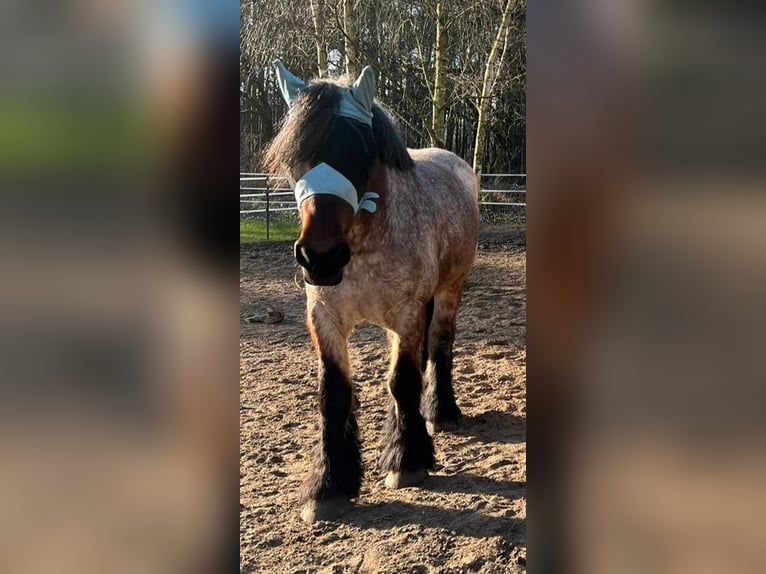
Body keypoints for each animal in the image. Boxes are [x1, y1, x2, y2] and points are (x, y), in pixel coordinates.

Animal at [264, 60, 480, 524]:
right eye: (296, 156)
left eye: (359, 150)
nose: (321, 257)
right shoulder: (324, 318)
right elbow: (334, 393)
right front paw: (329, 485)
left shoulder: (407, 314)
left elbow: (403, 380)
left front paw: (408, 460)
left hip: (450, 290)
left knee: (440, 346)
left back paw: (440, 412)